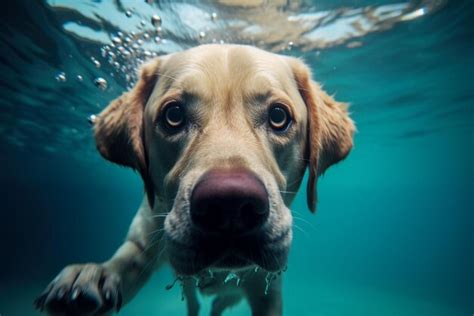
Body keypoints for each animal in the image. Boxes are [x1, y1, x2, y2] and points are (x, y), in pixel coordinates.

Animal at [34, 43, 352, 314]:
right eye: (173, 115)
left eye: (278, 116)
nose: (230, 206)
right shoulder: (146, 235)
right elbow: (127, 258)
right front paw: (93, 274)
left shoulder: (268, 290)